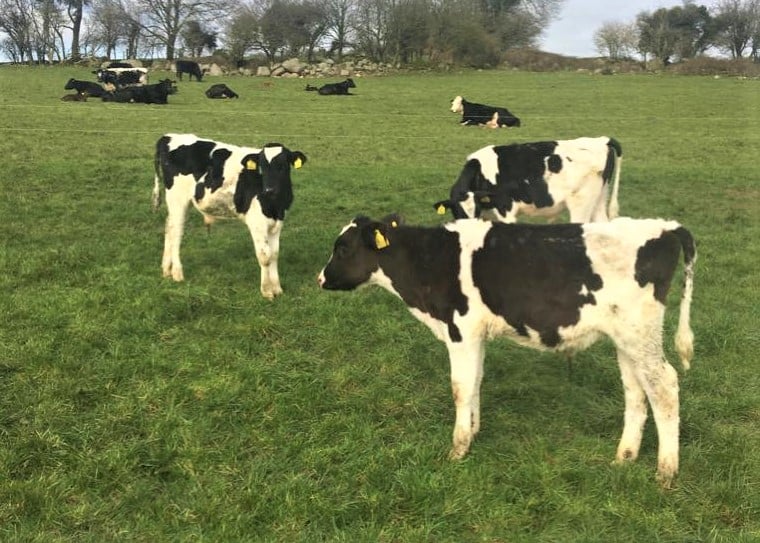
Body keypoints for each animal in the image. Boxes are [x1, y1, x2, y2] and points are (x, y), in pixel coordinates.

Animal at [152, 134, 307, 299]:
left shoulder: (277, 222)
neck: (274, 205)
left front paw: (277, 288)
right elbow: (265, 256)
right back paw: (177, 273)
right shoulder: (257, 223)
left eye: (283, 165)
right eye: (262, 166)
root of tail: (168, 136)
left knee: (169, 228)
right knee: (176, 233)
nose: (269, 189)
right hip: (178, 200)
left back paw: (166, 270)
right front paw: (267, 291)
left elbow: (274, 254)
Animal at [318, 214, 696, 487]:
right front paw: (473, 432)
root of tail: (664, 226)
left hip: (640, 334)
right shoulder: (476, 334)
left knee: (664, 387)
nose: (321, 279)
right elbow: (475, 382)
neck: (429, 260)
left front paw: (457, 448)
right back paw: (625, 456)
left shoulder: (461, 329)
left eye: (343, 248)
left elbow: (460, 388)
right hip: (627, 340)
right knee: (636, 390)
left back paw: (665, 472)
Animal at [434, 137, 623, 224]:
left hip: (581, 204)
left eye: (476, 209)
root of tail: (601, 140)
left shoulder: (506, 210)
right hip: (599, 199)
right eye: (458, 212)